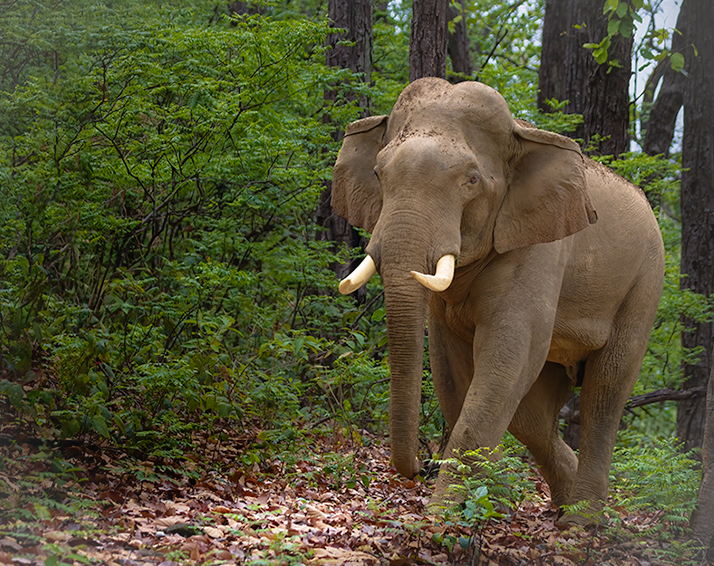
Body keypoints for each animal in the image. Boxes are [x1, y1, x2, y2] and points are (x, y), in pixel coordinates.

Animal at [331, 77, 665, 525]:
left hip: (644, 284)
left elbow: (511, 350)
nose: (418, 468)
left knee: (606, 389)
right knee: (534, 416)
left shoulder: (540, 245)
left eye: (471, 180)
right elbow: (452, 367)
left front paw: (439, 517)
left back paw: (579, 524)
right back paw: (563, 505)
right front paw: (480, 508)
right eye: (378, 172)